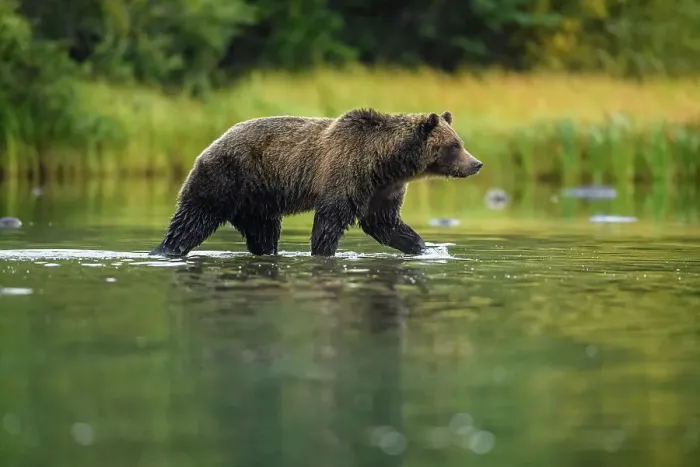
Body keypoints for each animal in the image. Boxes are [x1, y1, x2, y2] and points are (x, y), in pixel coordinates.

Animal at [149, 108, 483, 258]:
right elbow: (331, 220)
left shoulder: (382, 190)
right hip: (226, 178)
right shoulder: (347, 173)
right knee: (193, 218)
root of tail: (210, 144)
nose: (476, 164)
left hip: (258, 202)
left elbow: (384, 223)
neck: (386, 163)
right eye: (454, 146)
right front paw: (324, 251)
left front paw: (421, 246)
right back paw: (165, 250)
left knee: (263, 233)